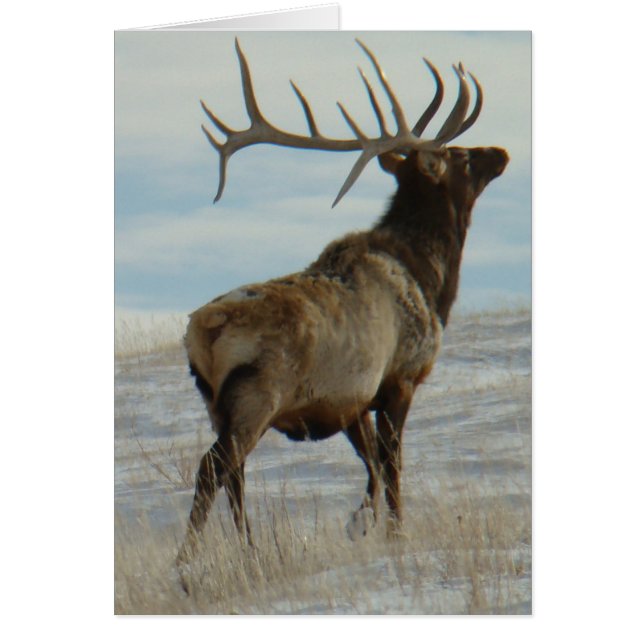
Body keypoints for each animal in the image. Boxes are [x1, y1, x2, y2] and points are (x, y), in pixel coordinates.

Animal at [177, 39, 509, 565]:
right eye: (458, 155)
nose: (500, 151)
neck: (431, 280)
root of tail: (203, 331)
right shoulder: (400, 376)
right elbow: (391, 464)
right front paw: (394, 532)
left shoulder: (351, 399)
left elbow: (370, 463)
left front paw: (361, 522)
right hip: (258, 394)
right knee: (215, 467)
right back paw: (186, 561)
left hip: (215, 402)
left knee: (234, 474)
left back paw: (250, 549)